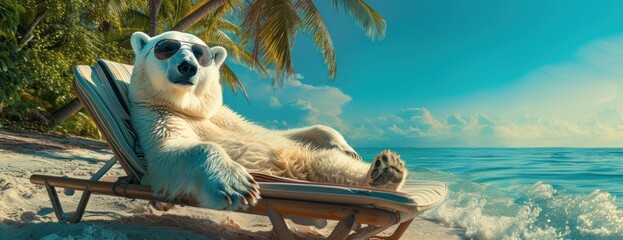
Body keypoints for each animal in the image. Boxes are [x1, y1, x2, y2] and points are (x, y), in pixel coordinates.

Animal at [129, 31, 408, 211]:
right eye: (166, 48)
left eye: (201, 54)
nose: (188, 66)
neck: (188, 108)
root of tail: (293, 173)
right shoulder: (156, 116)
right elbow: (169, 151)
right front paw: (235, 185)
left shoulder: (226, 115)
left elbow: (273, 132)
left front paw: (345, 146)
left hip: (303, 158)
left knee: (330, 164)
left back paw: (386, 169)